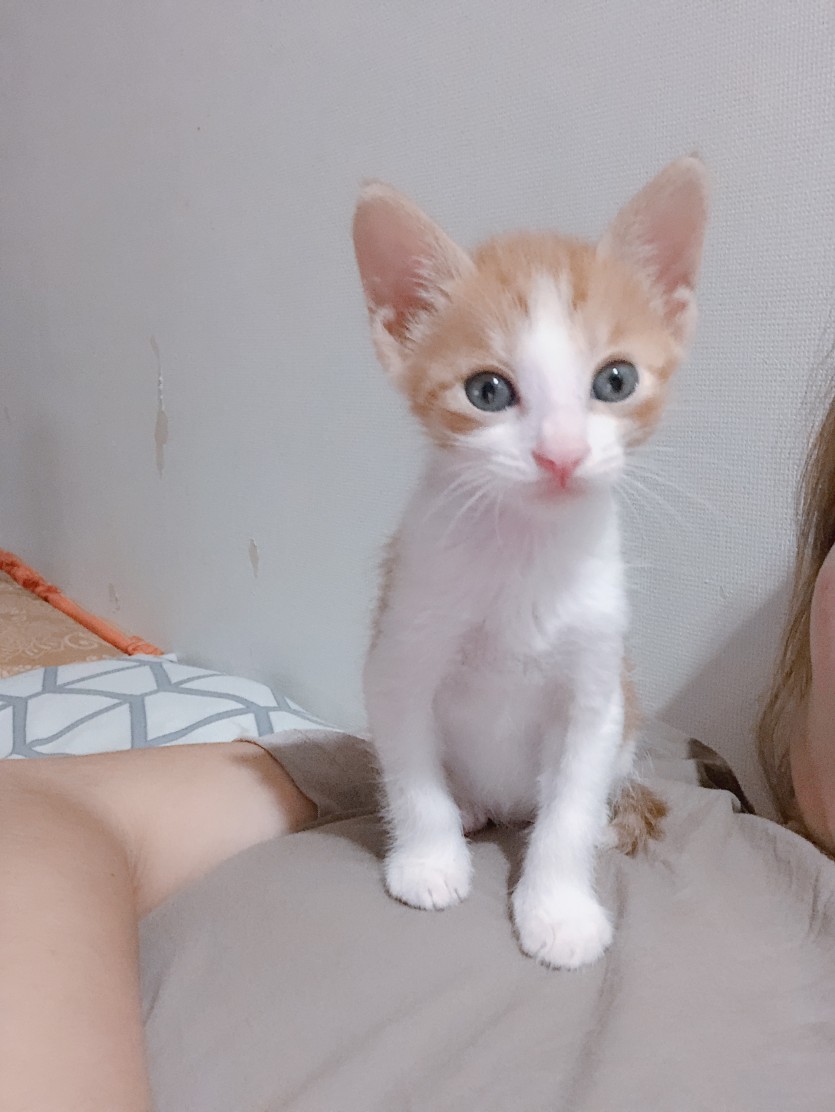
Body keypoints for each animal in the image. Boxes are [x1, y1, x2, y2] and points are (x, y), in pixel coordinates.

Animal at [352, 157, 708, 969]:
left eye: (615, 380)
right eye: (487, 391)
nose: (561, 454)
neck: (524, 556)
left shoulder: (596, 693)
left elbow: (568, 809)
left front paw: (558, 909)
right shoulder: (401, 651)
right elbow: (411, 773)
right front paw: (429, 860)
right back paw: (470, 809)